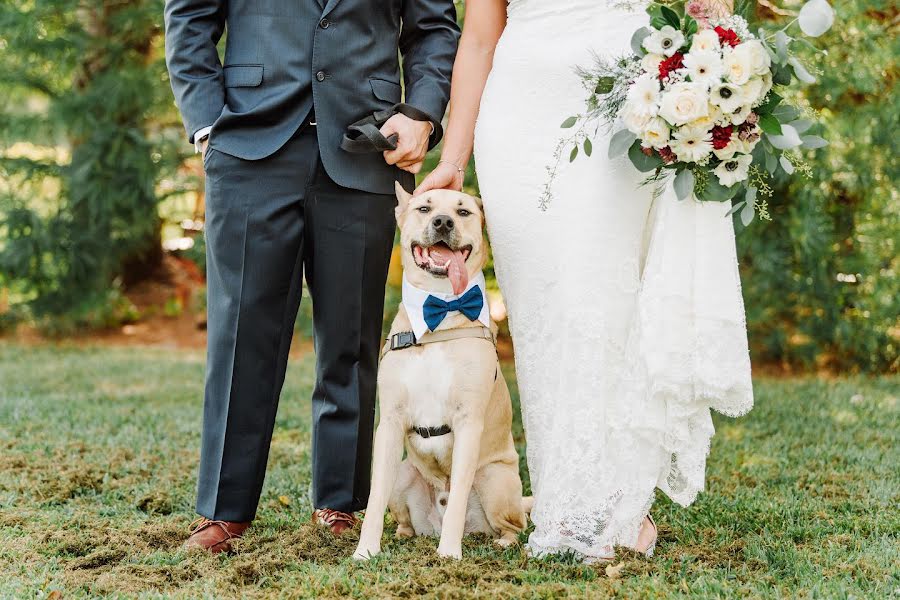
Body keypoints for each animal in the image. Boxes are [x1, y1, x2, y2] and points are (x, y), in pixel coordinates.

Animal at [352, 184, 532, 564]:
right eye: (424, 208)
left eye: (463, 212)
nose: (443, 222)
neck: (440, 311)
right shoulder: (390, 423)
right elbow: (374, 499)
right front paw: (365, 550)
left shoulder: (468, 423)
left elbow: (461, 492)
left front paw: (449, 552)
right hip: (404, 473)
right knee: (403, 514)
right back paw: (404, 534)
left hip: (495, 480)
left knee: (513, 525)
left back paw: (500, 540)